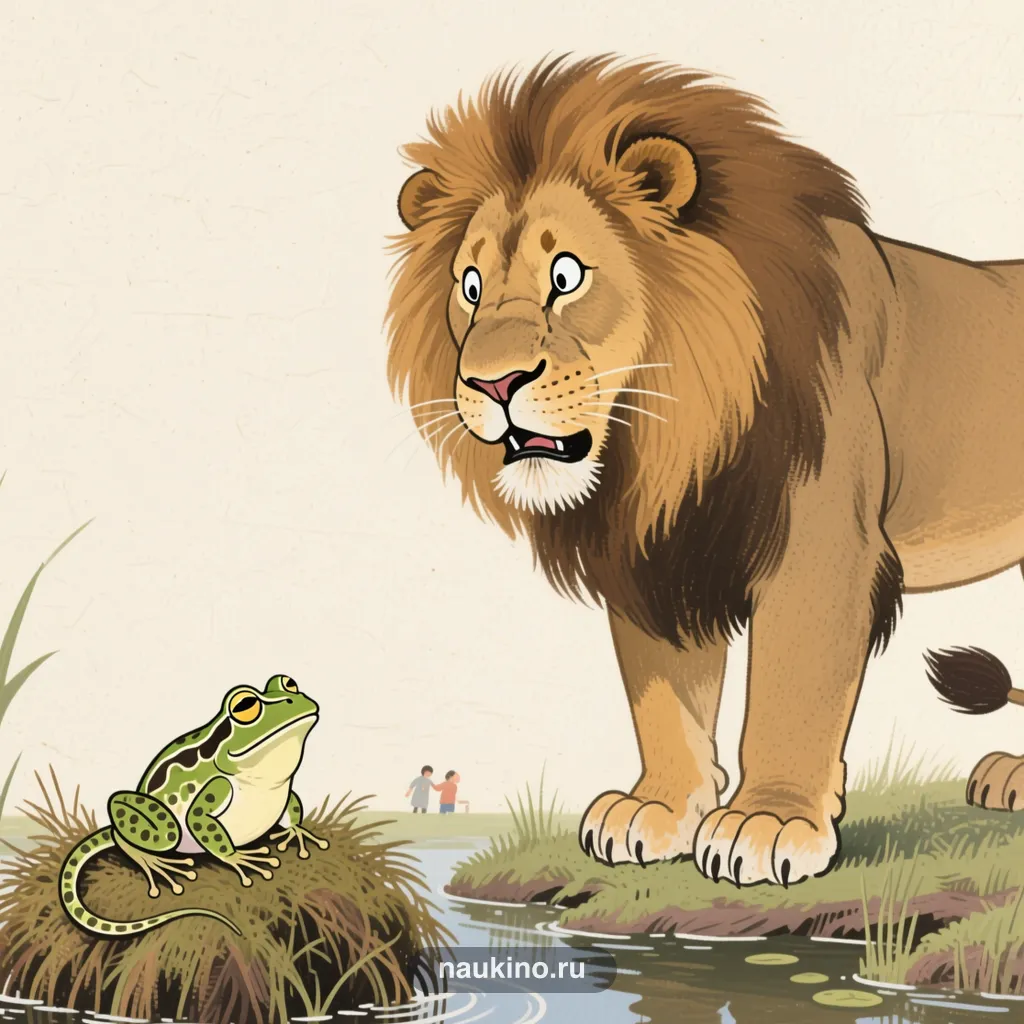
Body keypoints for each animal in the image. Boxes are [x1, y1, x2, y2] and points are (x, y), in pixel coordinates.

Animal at [384, 54, 1024, 887]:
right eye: (469, 288)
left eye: (566, 276)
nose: (493, 384)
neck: (665, 436)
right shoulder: (657, 554)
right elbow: (664, 700)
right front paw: (657, 809)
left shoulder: (820, 549)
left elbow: (789, 692)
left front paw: (772, 821)